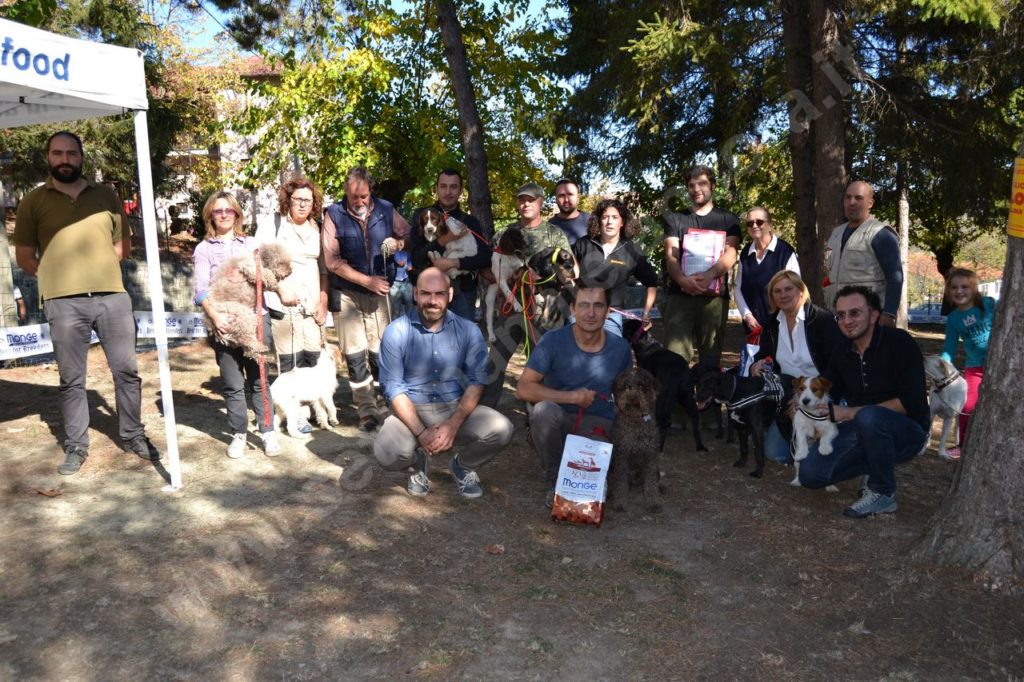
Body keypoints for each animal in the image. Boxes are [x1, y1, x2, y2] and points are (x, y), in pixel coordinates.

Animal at [606, 366, 663, 509]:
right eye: (626, 386)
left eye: (641, 386)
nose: (632, 397)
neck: (636, 420)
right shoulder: (621, 457)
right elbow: (621, 484)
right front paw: (620, 502)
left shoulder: (650, 456)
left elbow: (651, 483)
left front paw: (653, 502)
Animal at [618, 319, 708, 450]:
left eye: (625, 326)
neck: (645, 344)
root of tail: (679, 373)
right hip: (688, 397)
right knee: (696, 417)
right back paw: (700, 445)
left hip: (663, 398)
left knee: (664, 422)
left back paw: (658, 447)